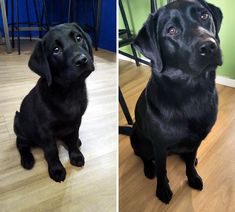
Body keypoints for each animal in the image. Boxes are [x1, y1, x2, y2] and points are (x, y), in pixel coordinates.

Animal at [13, 22, 94, 182]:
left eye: (78, 38)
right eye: (56, 50)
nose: (82, 60)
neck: (70, 92)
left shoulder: (77, 121)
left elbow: (73, 139)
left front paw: (75, 155)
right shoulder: (46, 130)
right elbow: (51, 151)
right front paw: (56, 169)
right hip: (18, 122)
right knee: (21, 144)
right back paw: (27, 159)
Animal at [132, 0, 222, 205]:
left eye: (204, 16)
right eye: (171, 30)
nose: (209, 47)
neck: (192, 94)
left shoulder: (197, 139)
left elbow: (189, 163)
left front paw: (193, 177)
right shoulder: (159, 146)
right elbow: (162, 170)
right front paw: (163, 190)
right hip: (138, 138)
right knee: (143, 157)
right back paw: (148, 169)